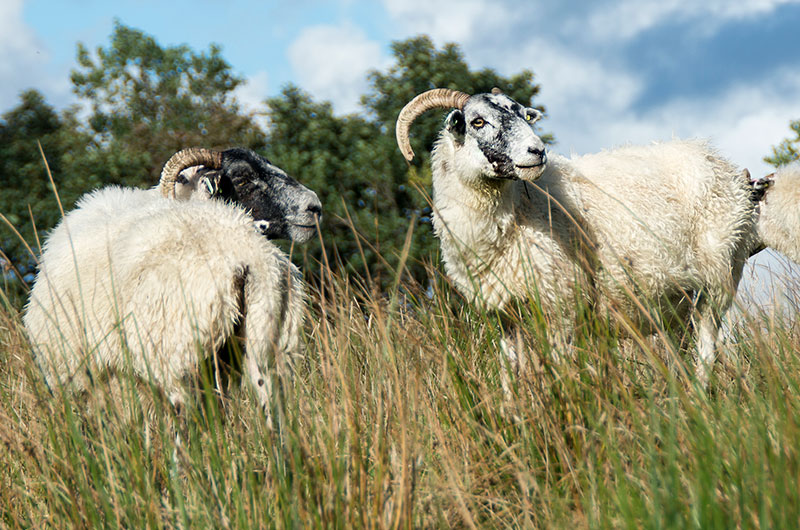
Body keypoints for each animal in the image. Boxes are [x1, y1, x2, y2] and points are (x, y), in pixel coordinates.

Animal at [395, 88, 763, 384]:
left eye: (523, 115)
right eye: (477, 122)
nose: (537, 151)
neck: (517, 211)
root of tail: (714, 157)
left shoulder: (562, 304)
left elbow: (560, 371)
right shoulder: (504, 316)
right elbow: (509, 375)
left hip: (720, 275)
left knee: (707, 348)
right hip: (676, 298)